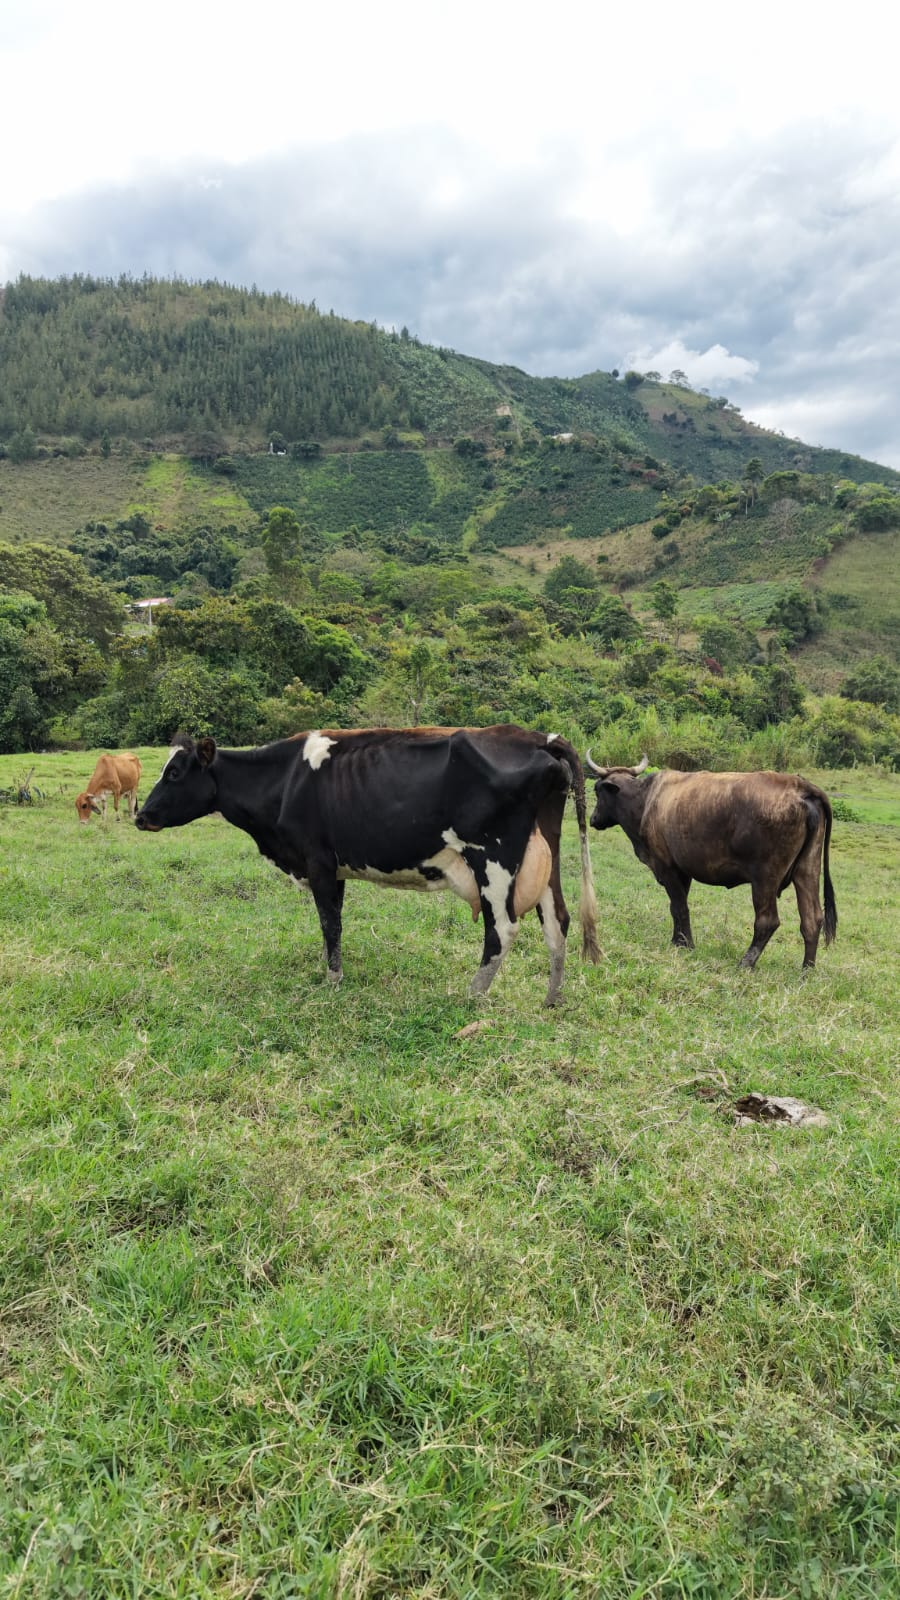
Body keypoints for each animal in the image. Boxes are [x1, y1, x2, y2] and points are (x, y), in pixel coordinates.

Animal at [135, 727, 601, 1004]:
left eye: (174, 773)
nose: (141, 816)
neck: (283, 781)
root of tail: (537, 736)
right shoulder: (334, 868)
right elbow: (331, 924)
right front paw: (329, 968)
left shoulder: (318, 862)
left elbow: (330, 923)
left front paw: (333, 980)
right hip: (544, 857)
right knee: (557, 921)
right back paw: (552, 999)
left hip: (493, 859)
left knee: (502, 929)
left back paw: (471, 996)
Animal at [585, 755, 836, 972]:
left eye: (597, 790)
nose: (593, 819)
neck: (645, 800)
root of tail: (801, 786)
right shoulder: (682, 870)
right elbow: (676, 907)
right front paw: (677, 941)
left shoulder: (666, 866)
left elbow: (680, 907)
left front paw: (686, 945)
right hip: (807, 869)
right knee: (812, 919)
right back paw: (806, 971)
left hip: (765, 877)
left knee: (767, 921)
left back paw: (745, 963)